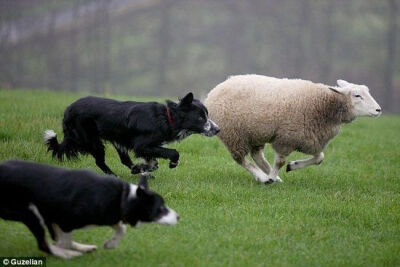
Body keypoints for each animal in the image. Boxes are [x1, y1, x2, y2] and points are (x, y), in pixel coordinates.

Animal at [0, 161, 178, 260]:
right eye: (160, 208)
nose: (178, 217)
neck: (123, 197)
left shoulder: (109, 214)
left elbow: (121, 228)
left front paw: (110, 244)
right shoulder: (63, 219)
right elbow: (62, 240)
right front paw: (67, 250)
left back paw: (82, 248)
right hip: (30, 212)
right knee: (44, 244)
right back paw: (69, 254)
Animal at [43, 93, 219, 177]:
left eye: (207, 115)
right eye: (201, 118)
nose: (218, 130)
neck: (166, 117)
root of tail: (68, 110)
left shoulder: (146, 146)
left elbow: (153, 161)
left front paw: (144, 167)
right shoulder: (142, 145)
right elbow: (172, 152)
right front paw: (172, 163)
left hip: (116, 141)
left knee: (124, 159)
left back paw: (137, 170)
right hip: (91, 139)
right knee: (100, 162)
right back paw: (115, 177)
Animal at [205, 75, 382, 184]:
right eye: (357, 95)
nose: (378, 110)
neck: (324, 106)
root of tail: (214, 90)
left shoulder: (310, 139)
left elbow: (320, 158)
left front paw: (291, 166)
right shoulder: (287, 138)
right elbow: (280, 161)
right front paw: (272, 176)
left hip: (255, 132)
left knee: (256, 155)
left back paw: (271, 176)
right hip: (234, 134)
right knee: (240, 158)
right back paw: (264, 178)